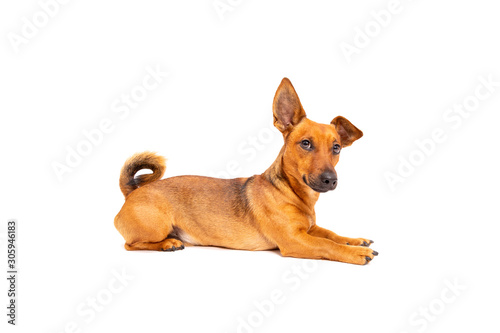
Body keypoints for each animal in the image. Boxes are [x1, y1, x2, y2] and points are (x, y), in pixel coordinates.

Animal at [114, 78, 378, 264]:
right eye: (305, 143)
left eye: (336, 148)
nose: (330, 180)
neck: (291, 192)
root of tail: (132, 192)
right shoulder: (296, 240)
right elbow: (327, 245)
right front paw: (354, 252)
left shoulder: (311, 230)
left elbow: (332, 234)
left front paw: (355, 241)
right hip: (155, 227)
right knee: (130, 245)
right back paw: (167, 244)